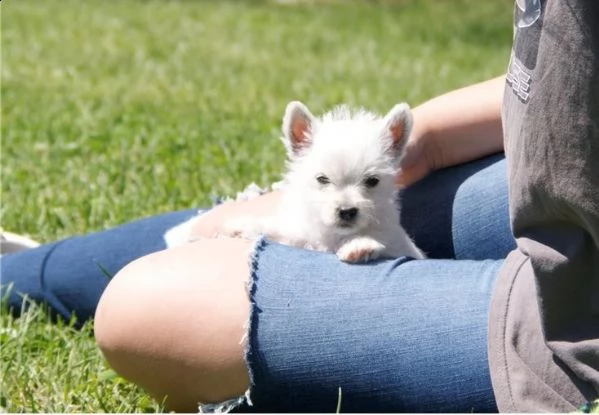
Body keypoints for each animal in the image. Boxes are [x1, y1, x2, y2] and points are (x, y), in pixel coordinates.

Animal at [165, 101, 426, 264]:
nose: (347, 211)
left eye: (372, 181)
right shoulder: (299, 234)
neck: (331, 237)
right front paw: (245, 227)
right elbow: (284, 233)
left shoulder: (400, 245)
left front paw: (361, 245)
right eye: (322, 179)